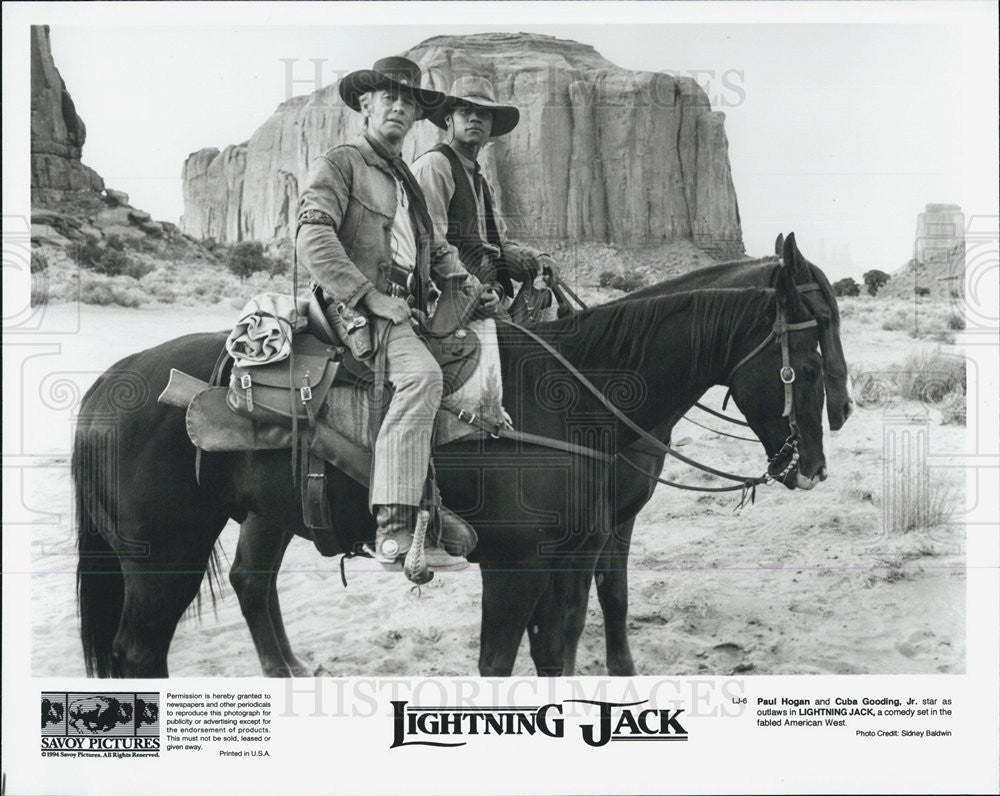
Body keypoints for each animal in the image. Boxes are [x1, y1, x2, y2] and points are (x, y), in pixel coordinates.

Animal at [76, 252, 828, 676]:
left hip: (257, 518)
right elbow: (500, 665)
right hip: (163, 557)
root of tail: (105, 386)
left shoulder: (575, 552)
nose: (812, 467)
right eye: (813, 363)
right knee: (139, 656)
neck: (574, 395)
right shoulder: (518, 564)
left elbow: (559, 650)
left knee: (245, 586)